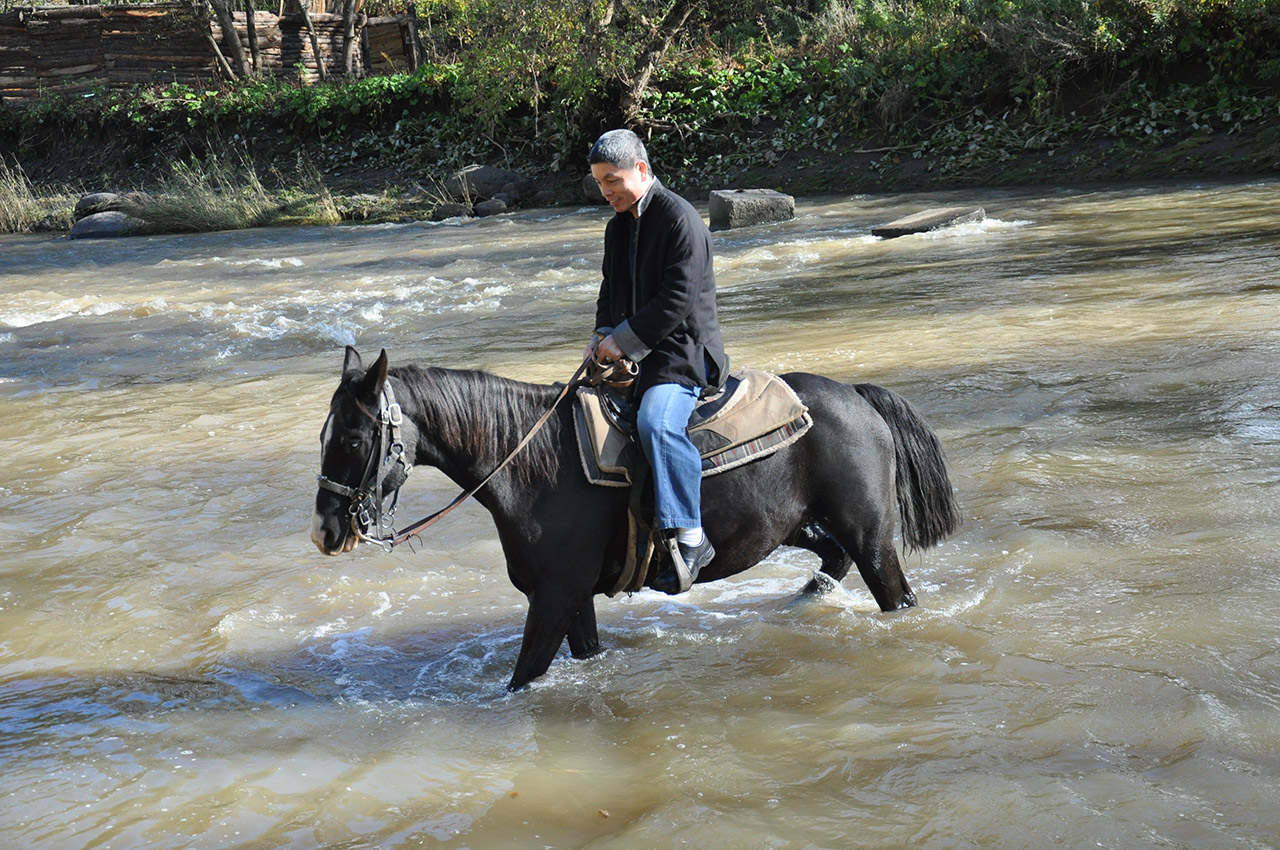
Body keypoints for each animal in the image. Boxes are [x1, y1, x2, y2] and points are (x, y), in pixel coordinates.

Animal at [309, 345, 962, 691]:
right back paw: (804, 599)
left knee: (888, 587)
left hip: (873, 538)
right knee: (831, 557)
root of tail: (855, 394)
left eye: (352, 438)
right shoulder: (571, 597)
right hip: (799, 524)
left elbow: (523, 676)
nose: (326, 531)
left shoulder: (554, 596)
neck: (531, 462)